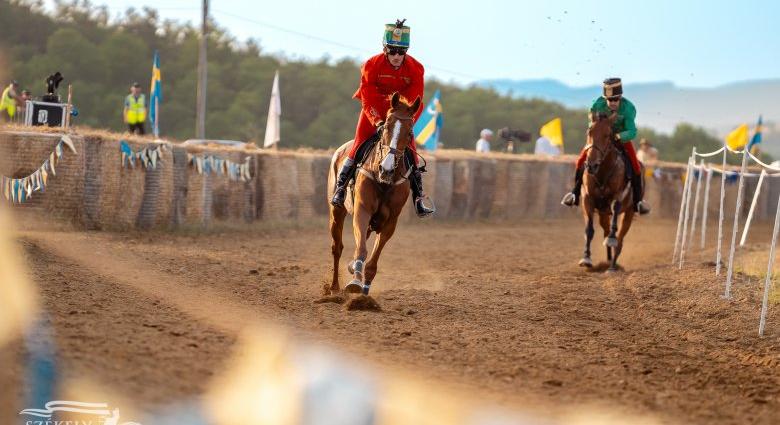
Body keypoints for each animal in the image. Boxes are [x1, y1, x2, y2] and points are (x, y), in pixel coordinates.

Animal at [324, 92, 420, 294]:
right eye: (385, 128)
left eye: (409, 133)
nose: (387, 168)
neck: (385, 182)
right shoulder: (362, 210)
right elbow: (361, 249)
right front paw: (355, 281)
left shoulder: (390, 221)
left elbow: (374, 256)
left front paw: (365, 284)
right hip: (336, 211)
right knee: (337, 247)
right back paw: (335, 287)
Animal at [580, 112, 640, 272]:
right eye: (589, 132)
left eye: (607, 135)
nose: (591, 165)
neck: (602, 172)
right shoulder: (587, 199)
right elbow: (589, 230)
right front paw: (586, 258)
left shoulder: (618, 196)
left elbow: (615, 213)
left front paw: (611, 239)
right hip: (602, 214)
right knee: (605, 230)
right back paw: (607, 261)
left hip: (629, 213)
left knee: (620, 240)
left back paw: (612, 266)